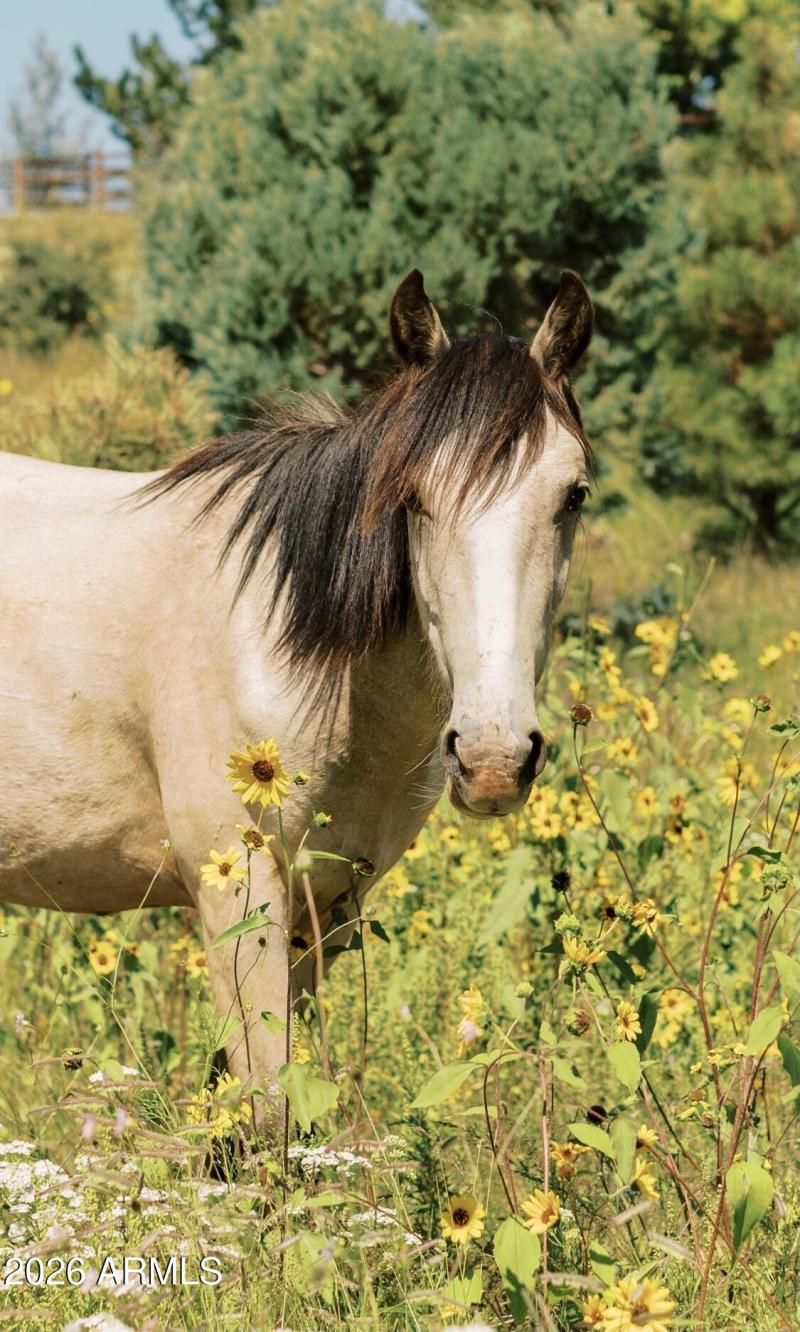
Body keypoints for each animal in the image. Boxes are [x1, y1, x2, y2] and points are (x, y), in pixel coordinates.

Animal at [0, 269, 593, 1122]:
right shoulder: (236, 891)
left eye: (572, 494)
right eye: (412, 497)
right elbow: (267, 1108)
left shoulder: (331, 904)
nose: (492, 759)